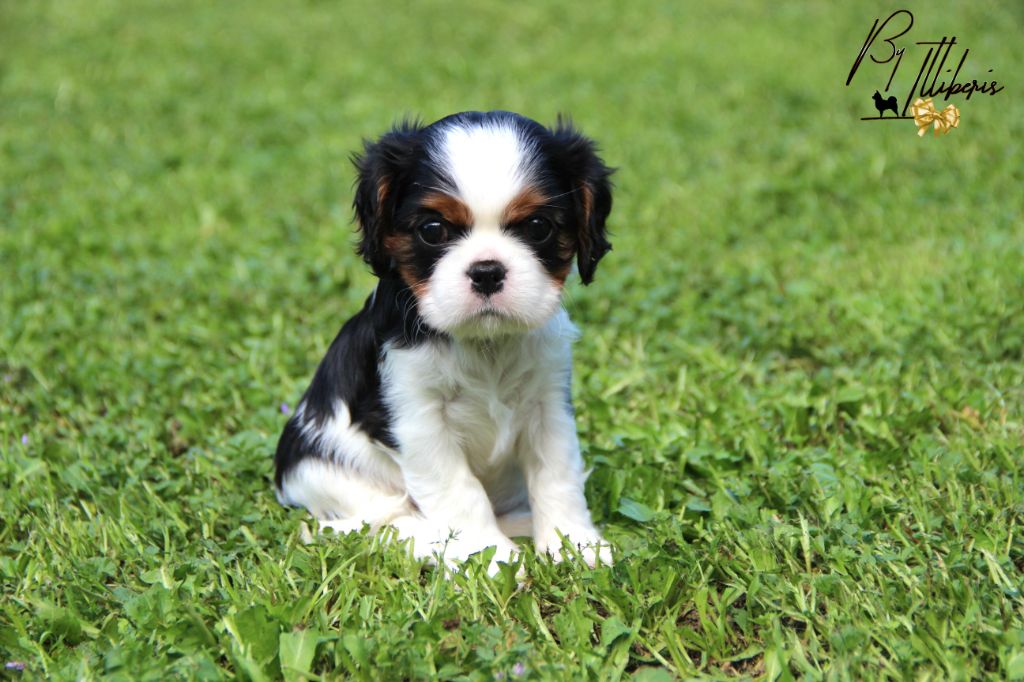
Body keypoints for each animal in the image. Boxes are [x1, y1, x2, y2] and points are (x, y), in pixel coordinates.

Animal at [272, 110, 610, 569]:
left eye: (538, 226)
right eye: (433, 230)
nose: (487, 271)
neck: (485, 344)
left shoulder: (549, 405)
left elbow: (557, 474)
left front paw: (572, 543)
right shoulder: (417, 417)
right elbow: (458, 490)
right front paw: (488, 558)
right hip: (329, 473)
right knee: (380, 523)